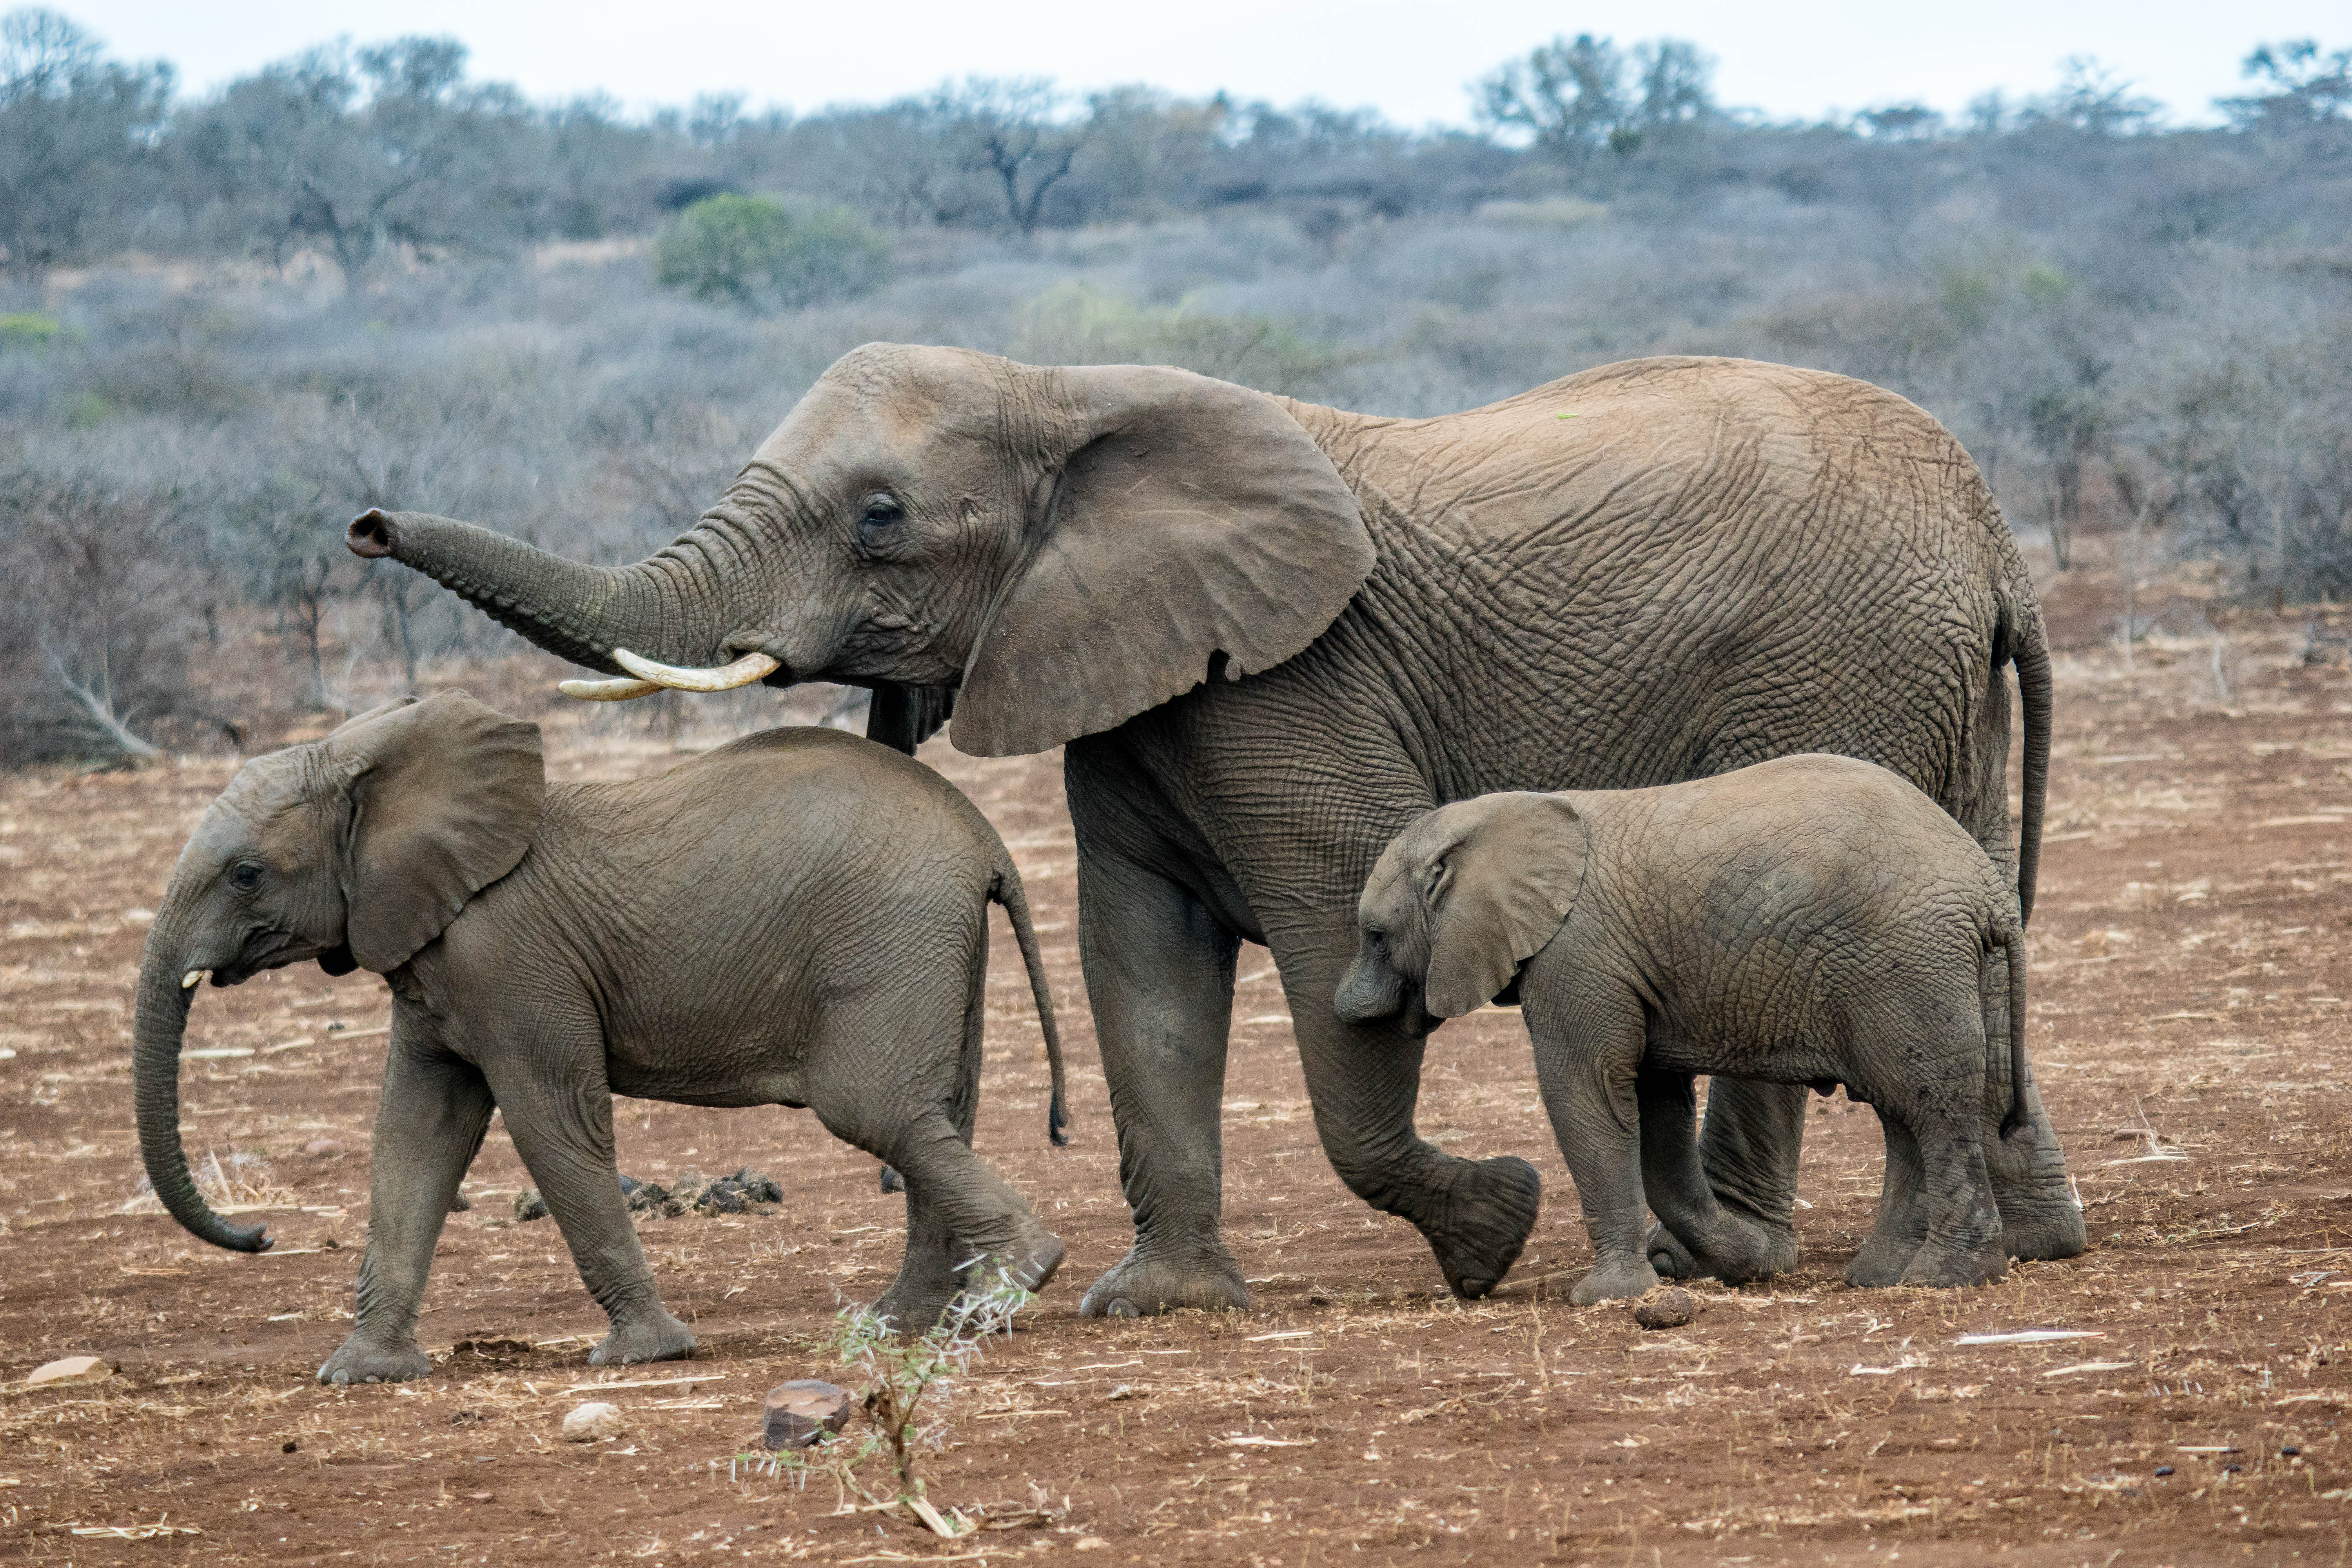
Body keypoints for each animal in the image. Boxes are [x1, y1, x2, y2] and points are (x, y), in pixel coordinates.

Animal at [133, 691, 1073, 1382]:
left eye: (246, 874)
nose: (261, 1235)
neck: (376, 760)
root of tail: (985, 838)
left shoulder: (508, 956)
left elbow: (551, 1120)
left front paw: (642, 1355)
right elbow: (416, 1132)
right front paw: (362, 1372)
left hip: (891, 935)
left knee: (879, 1110)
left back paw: (1022, 1278)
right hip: (934, 944)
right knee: (940, 1112)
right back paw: (908, 1320)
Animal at [1345, 752, 2042, 1307]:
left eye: (1375, 937)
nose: (1348, 1011)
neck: (1502, 820)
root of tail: (1990, 893)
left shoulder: (1577, 955)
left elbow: (1588, 1093)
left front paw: (1609, 1298)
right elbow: (1657, 1104)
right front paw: (1742, 1263)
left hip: (1908, 964)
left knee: (1935, 1108)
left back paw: (1944, 1279)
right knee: (1903, 1112)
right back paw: (1881, 1277)